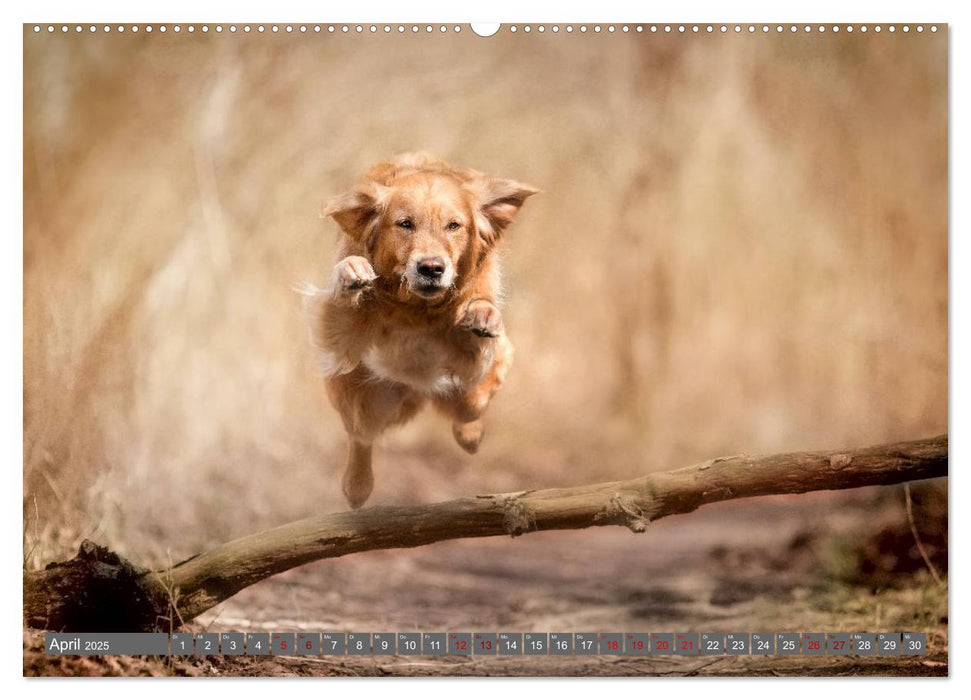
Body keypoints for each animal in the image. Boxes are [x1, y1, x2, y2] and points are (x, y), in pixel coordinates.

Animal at [312, 153, 540, 506]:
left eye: (454, 225)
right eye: (405, 224)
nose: (431, 268)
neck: (416, 309)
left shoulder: (477, 350)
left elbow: (477, 324)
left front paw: (482, 314)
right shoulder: (340, 339)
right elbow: (344, 305)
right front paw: (353, 272)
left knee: (469, 410)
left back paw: (470, 434)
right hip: (358, 399)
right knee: (360, 436)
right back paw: (356, 487)